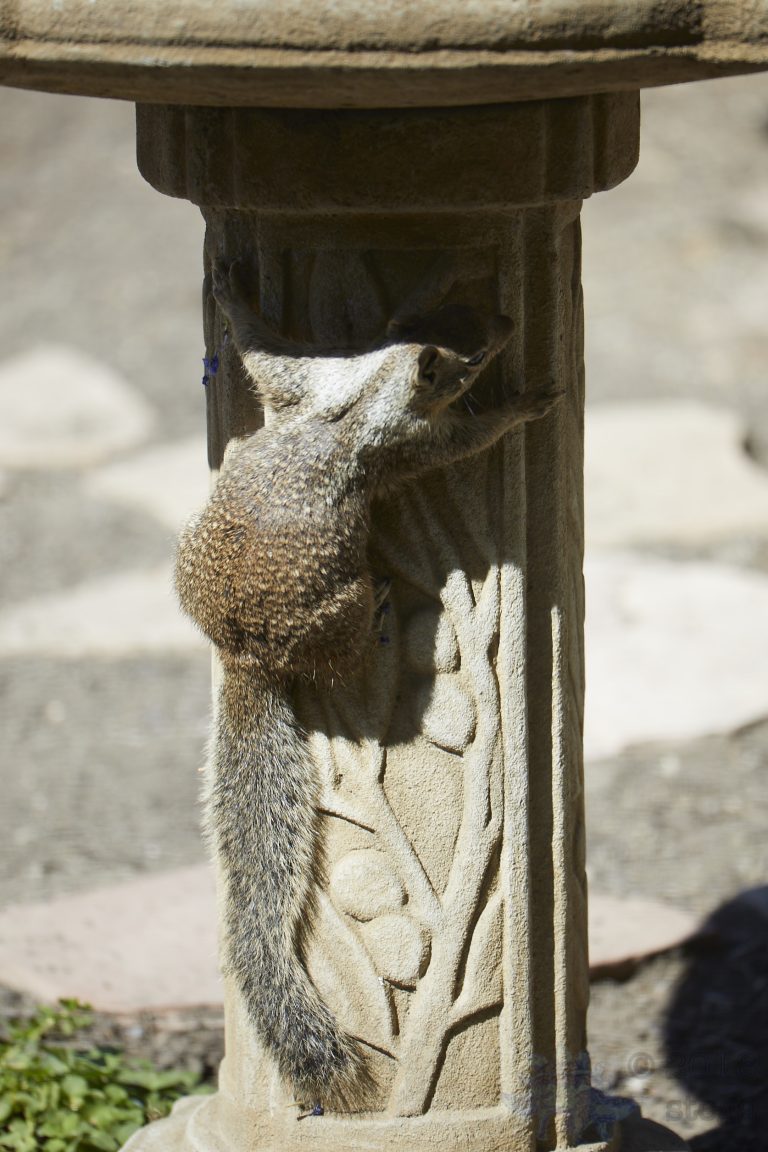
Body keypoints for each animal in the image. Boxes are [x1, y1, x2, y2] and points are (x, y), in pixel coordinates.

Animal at [175, 257, 563, 1112]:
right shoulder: (408, 441)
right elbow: (462, 439)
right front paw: (524, 405)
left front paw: (231, 290)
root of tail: (244, 656)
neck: (362, 389)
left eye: (453, 306)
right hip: (338, 605)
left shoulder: (304, 381)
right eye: (468, 360)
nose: (509, 325)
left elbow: (260, 349)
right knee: (343, 653)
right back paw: (382, 617)